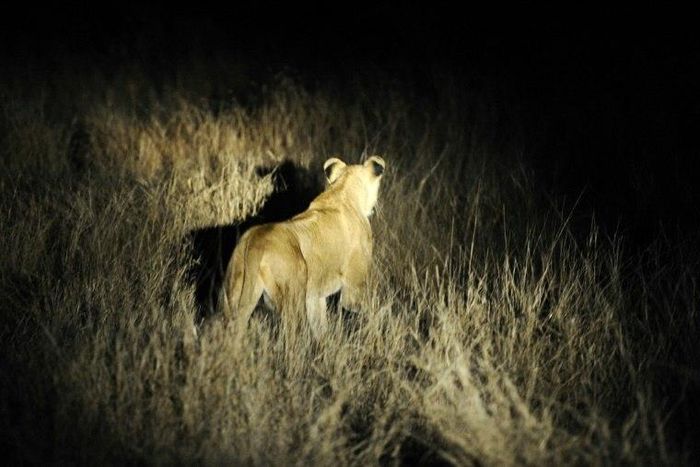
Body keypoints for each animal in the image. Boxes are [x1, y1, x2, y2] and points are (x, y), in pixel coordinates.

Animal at [219, 156, 386, 339]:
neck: (342, 190)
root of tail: (255, 242)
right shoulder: (353, 288)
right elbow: (370, 308)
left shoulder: (315, 296)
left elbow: (320, 325)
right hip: (294, 297)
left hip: (232, 295)